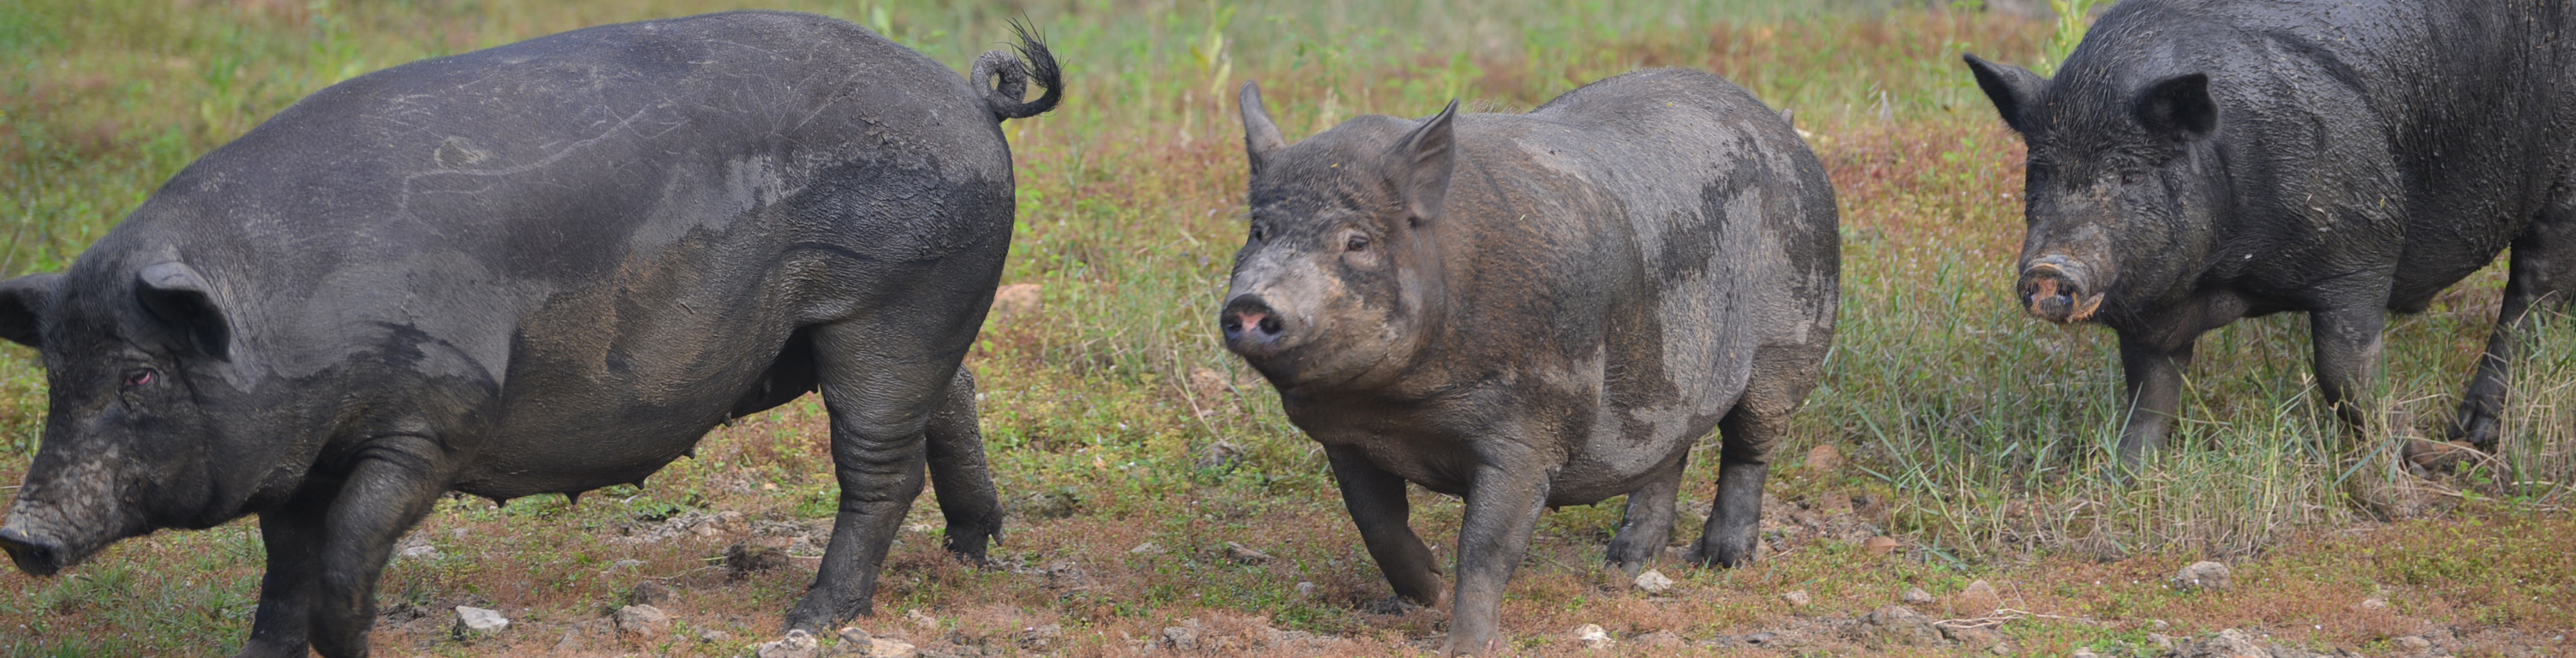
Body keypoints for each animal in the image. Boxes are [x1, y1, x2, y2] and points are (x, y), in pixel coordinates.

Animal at [0, 11, 1056, 658]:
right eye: (55, 371)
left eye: (140, 377)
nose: (22, 534)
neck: (278, 324)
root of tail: (972, 95)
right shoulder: (295, 453)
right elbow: (286, 565)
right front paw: (262, 652)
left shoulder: (432, 417)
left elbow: (348, 543)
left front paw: (355, 640)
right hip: (909, 318)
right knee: (954, 398)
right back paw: (969, 551)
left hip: (892, 304)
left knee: (881, 463)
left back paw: (810, 617)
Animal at [1220, 68, 1844, 652]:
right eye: (1258, 231)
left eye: (1357, 242)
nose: (1251, 304)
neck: (1396, 407)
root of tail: (1782, 126)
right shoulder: (1346, 440)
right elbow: (1376, 523)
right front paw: (1424, 595)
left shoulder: (1530, 428)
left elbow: (1486, 544)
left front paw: (1462, 646)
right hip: (1666, 375)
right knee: (1671, 453)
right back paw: (1623, 564)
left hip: (1792, 340)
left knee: (1748, 448)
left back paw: (1722, 561)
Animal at [1968, 0, 2576, 467]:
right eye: (2039, 172)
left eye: (2128, 174)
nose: (2049, 269)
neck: (2229, 273)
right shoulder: (2151, 309)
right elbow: (2150, 393)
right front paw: (2125, 474)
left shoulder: (2364, 249)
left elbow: (2345, 376)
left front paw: (2419, 461)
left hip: (2562, 178)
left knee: (2534, 291)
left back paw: (2474, 435)